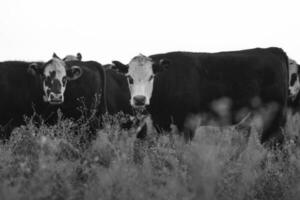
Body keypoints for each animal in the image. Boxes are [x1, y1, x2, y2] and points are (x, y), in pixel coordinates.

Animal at [112, 48, 288, 145]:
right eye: (129, 78)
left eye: (151, 77)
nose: (139, 99)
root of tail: (272, 50)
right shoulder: (161, 123)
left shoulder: (188, 123)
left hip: (273, 115)